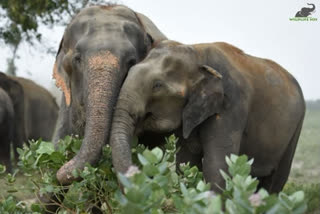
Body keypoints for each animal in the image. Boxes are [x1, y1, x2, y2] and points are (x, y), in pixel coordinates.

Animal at [111, 39, 306, 192]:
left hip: (296, 128)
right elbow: (187, 162)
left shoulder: (230, 106)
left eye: (157, 85)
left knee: (275, 182)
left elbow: (217, 166)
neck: (197, 54)